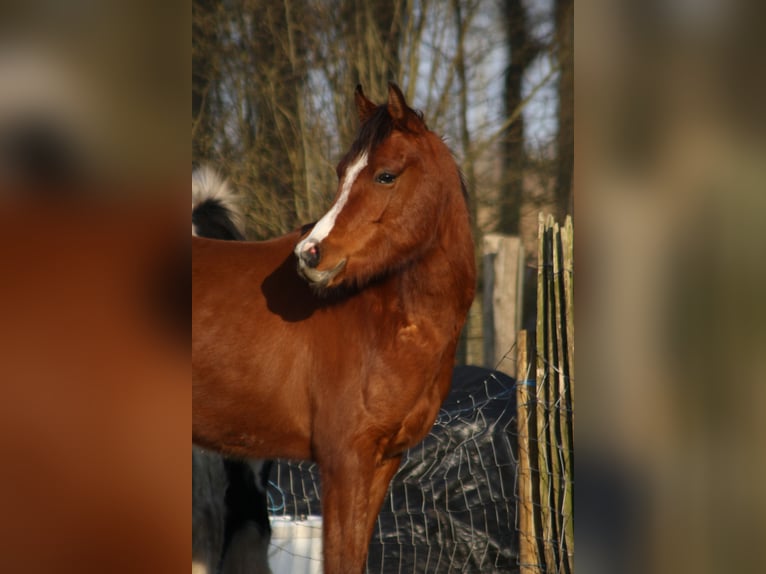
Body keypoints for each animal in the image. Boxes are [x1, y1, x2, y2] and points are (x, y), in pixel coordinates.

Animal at [192, 84, 476, 574]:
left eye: (385, 175)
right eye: (342, 172)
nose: (309, 254)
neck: (385, 318)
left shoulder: (381, 463)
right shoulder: (343, 463)